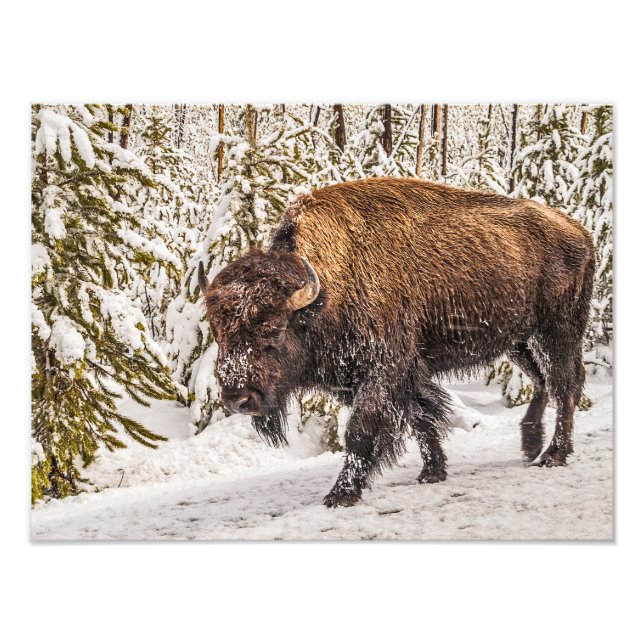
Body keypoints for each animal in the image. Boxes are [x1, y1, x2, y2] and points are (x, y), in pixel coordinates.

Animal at [198, 177, 595, 507]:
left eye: (275, 330)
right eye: (218, 331)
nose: (238, 398)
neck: (329, 288)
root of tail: (579, 230)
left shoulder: (384, 370)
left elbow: (361, 431)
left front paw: (341, 494)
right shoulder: (370, 379)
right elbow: (420, 419)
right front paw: (432, 472)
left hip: (557, 331)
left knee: (565, 385)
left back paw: (553, 455)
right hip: (519, 341)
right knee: (543, 382)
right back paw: (531, 445)